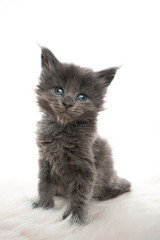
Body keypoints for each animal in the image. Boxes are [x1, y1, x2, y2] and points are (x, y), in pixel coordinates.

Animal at [32, 47, 130, 225]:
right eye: (59, 90)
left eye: (82, 97)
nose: (67, 103)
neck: (63, 131)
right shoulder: (46, 160)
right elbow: (44, 184)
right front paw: (43, 206)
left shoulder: (85, 168)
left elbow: (80, 195)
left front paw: (76, 219)